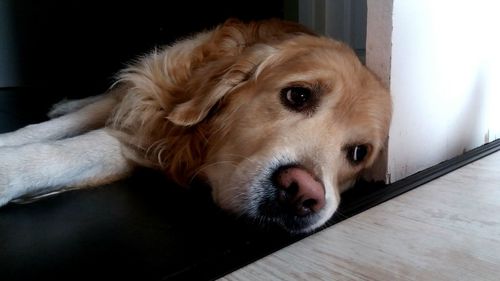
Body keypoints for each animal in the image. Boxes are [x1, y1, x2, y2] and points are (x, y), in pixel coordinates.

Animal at [0, 19, 390, 233]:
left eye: (358, 153)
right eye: (298, 95)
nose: (302, 194)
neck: (192, 143)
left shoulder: (140, 141)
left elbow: (84, 146)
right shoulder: (148, 101)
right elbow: (49, 133)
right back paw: (67, 102)